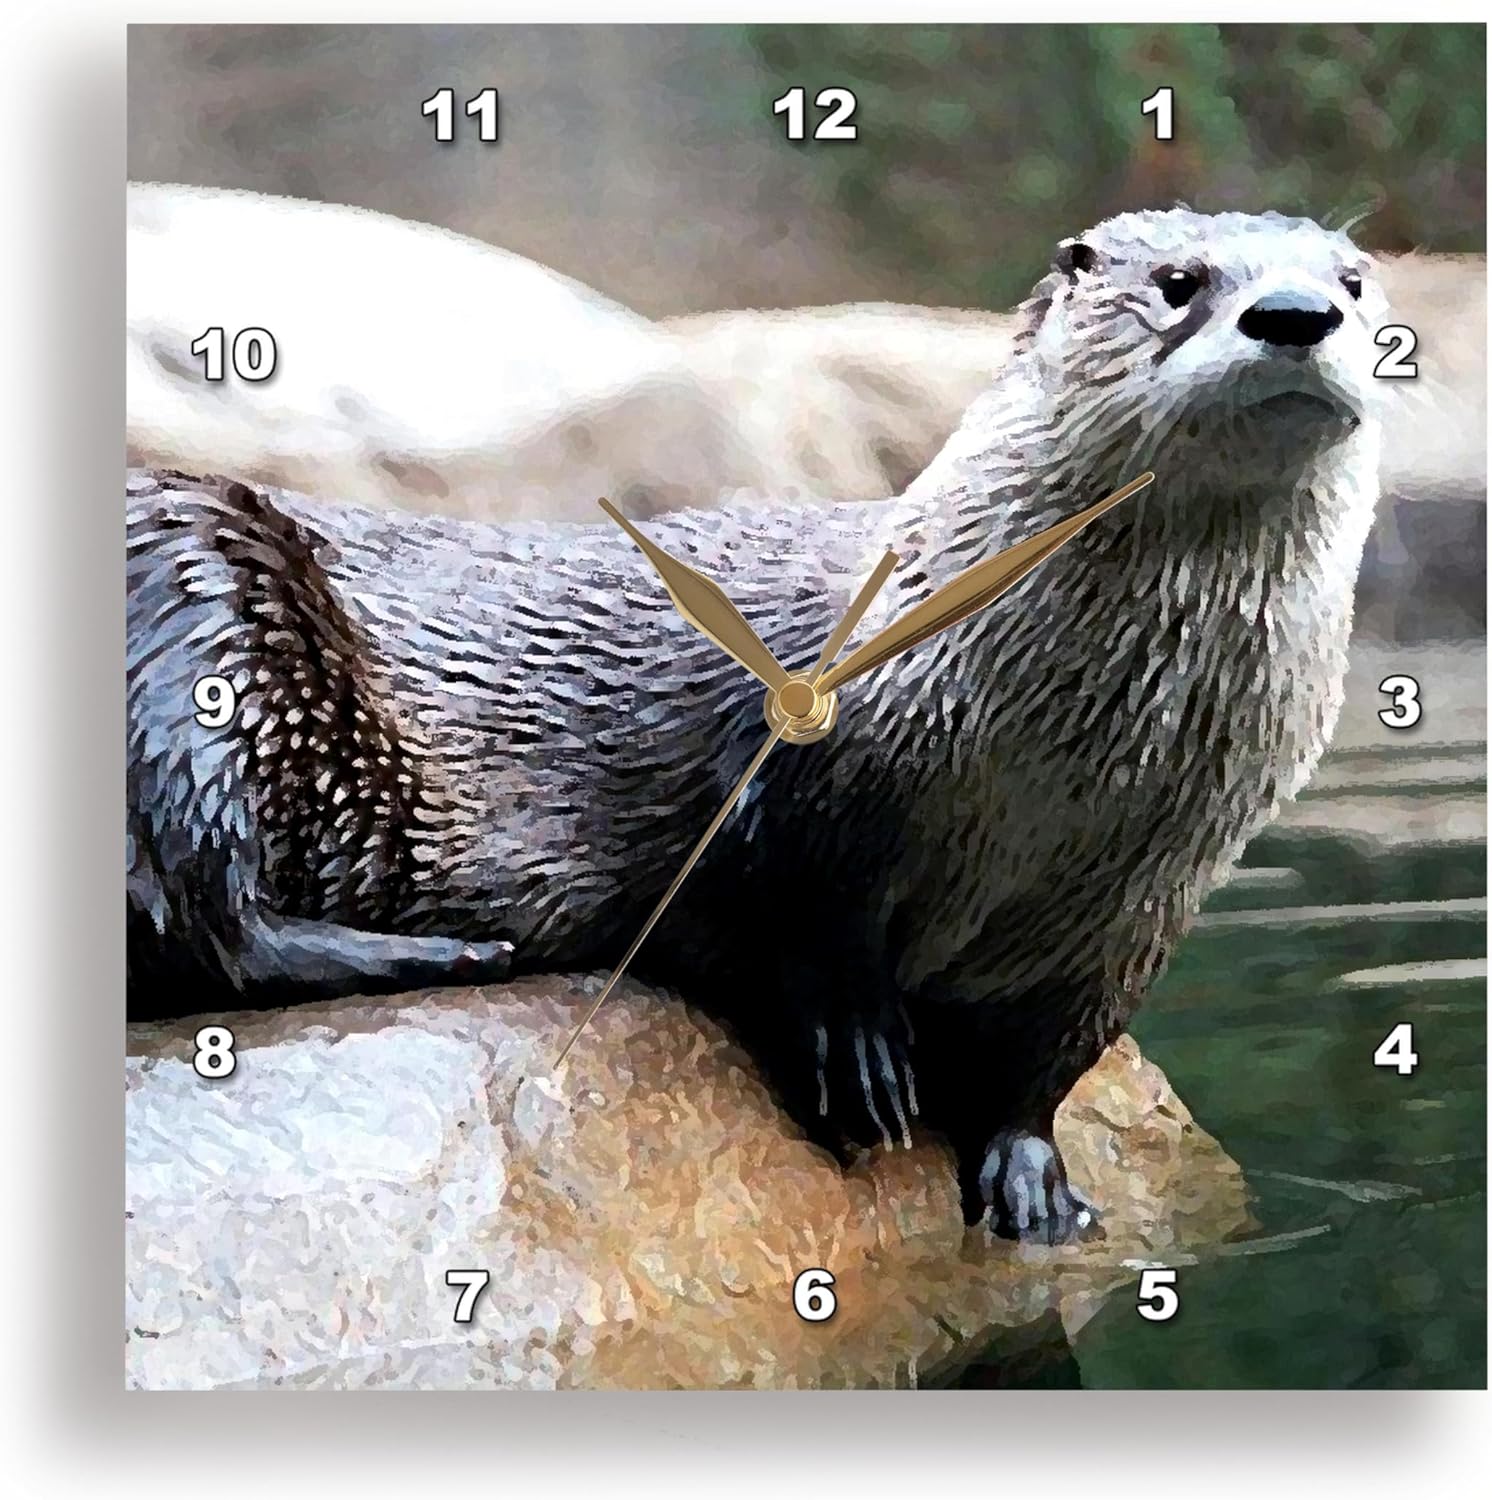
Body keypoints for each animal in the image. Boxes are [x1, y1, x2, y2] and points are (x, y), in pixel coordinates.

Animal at [127, 209, 1386, 1240]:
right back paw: (444, 953)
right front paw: (863, 1056)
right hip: (196, 597)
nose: (1295, 314)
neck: (1062, 774)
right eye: (1180, 282)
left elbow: (1052, 1056)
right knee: (203, 909)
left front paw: (1031, 1175)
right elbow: (796, 911)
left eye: (1354, 281)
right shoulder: (806, 780)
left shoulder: (1140, 902)